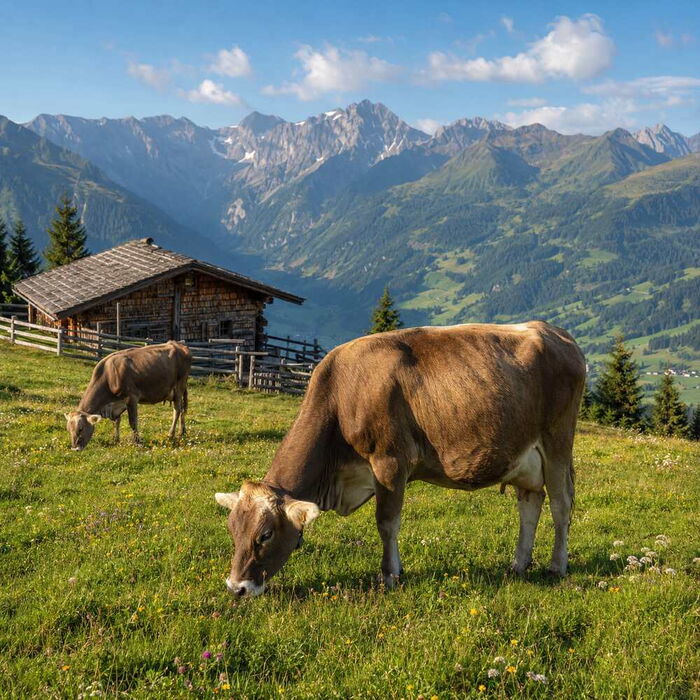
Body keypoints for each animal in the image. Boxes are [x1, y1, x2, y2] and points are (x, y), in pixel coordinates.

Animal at [215, 321, 586, 597]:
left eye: (265, 535)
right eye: (232, 529)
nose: (236, 587)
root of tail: (555, 332)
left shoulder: (389, 463)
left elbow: (387, 523)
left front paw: (390, 574)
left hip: (557, 443)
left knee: (560, 505)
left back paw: (557, 565)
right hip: (525, 459)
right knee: (530, 504)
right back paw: (519, 563)